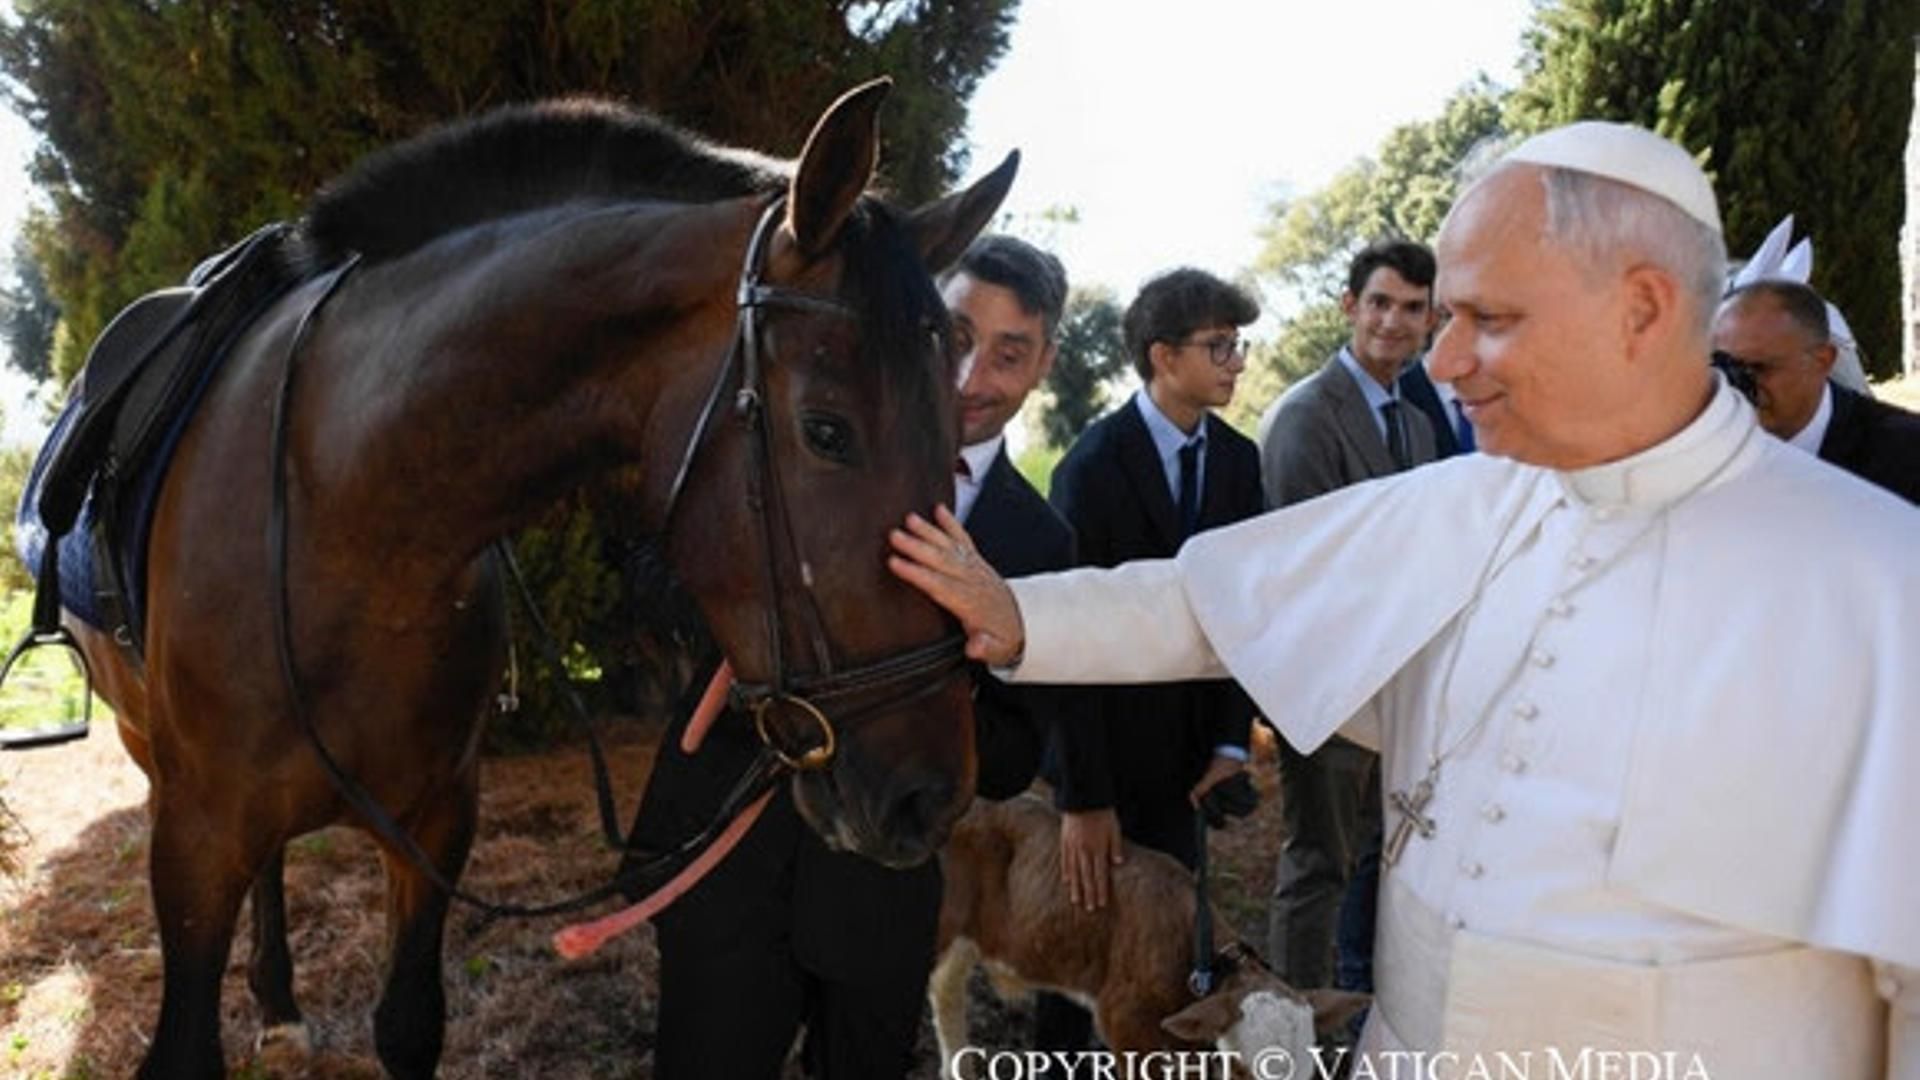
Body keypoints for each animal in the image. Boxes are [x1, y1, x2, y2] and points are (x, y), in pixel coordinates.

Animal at [56, 79, 1012, 1078]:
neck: (347, 521)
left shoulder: (435, 825)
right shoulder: (196, 840)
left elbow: (408, 1025)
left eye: (959, 441)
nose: (930, 796)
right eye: (826, 431)